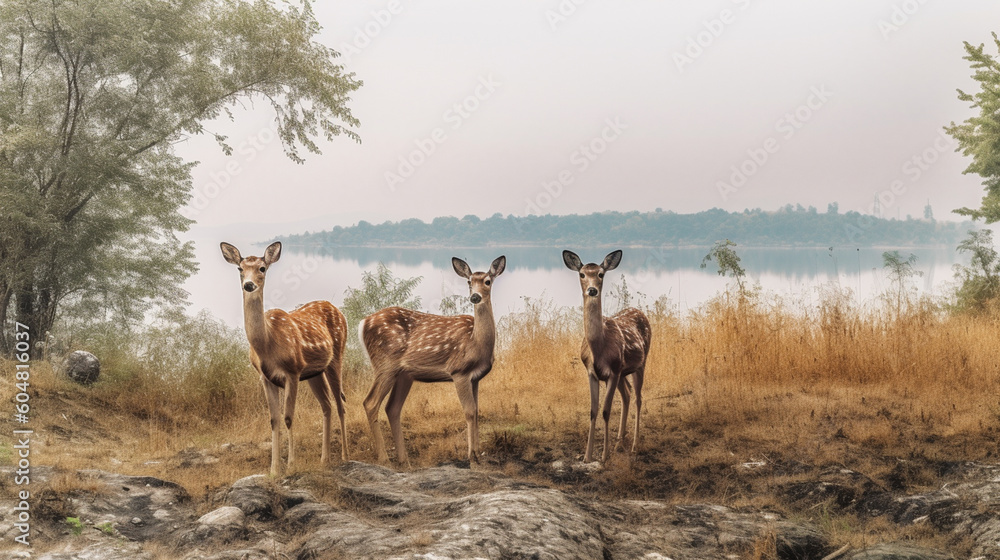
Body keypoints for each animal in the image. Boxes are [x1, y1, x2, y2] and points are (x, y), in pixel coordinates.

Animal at [220, 241, 348, 476]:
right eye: (240, 269)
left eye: (262, 268)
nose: (249, 285)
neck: (267, 344)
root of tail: (337, 310)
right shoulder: (265, 377)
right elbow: (274, 419)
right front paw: (273, 469)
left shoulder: (293, 371)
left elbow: (288, 417)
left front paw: (291, 464)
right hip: (315, 372)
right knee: (326, 405)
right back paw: (324, 459)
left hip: (336, 356)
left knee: (340, 403)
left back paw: (344, 455)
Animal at [359, 256, 505, 466]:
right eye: (469, 282)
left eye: (487, 281)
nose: (475, 297)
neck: (476, 344)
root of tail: (363, 323)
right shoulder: (458, 371)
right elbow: (469, 411)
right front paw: (472, 457)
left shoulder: (475, 378)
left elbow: (477, 411)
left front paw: (478, 455)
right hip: (385, 364)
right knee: (370, 403)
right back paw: (385, 459)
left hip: (404, 375)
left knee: (392, 408)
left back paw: (405, 461)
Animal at [563, 250, 651, 463]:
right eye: (582, 274)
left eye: (601, 274)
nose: (592, 290)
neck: (598, 349)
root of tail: (640, 312)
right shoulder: (591, 372)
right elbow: (593, 411)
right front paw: (587, 456)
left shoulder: (613, 371)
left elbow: (605, 410)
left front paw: (604, 456)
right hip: (624, 372)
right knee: (627, 394)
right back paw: (620, 442)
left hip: (640, 363)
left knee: (638, 398)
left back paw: (634, 445)